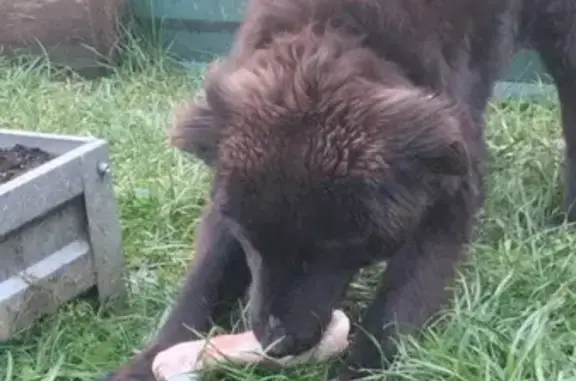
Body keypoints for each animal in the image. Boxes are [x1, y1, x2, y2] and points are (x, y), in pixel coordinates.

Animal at [106, 0, 576, 378]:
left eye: (333, 247)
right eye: (250, 238)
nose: (278, 344)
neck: (335, 31)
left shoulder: (450, 184)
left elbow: (399, 303)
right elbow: (205, 278)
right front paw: (148, 360)